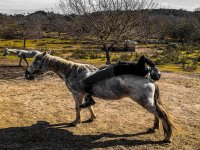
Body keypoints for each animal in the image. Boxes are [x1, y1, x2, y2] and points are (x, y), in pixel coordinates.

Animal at [24, 52, 177, 142]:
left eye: (36, 61)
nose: (27, 74)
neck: (72, 72)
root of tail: (149, 79)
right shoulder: (84, 94)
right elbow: (88, 106)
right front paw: (92, 117)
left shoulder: (77, 94)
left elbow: (77, 108)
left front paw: (75, 122)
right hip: (148, 102)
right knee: (157, 114)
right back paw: (154, 128)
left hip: (145, 102)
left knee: (161, 115)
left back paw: (167, 137)